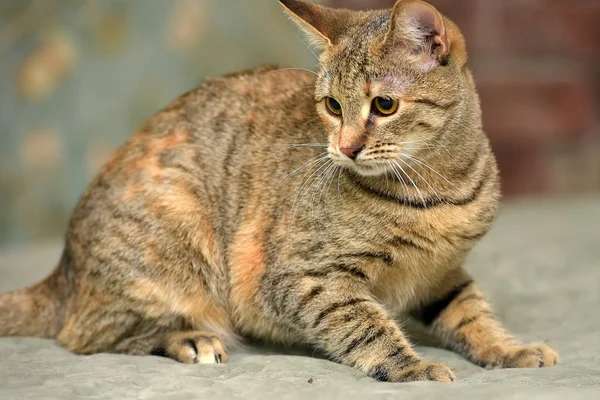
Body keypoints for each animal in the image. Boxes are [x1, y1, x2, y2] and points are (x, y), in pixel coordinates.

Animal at [0, 0, 556, 382]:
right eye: (332, 105)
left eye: (384, 105)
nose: (346, 147)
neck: (438, 189)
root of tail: (63, 270)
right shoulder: (303, 279)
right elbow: (366, 324)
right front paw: (411, 367)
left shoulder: (441, 275)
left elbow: (471, 314)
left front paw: (509, 349)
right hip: (176, 236)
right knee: (88, 334)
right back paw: (189, 339)